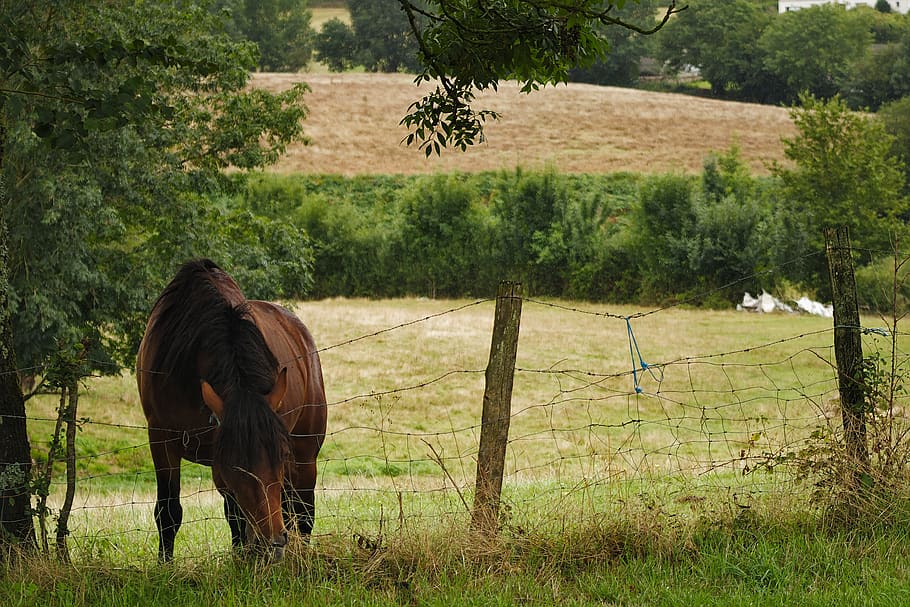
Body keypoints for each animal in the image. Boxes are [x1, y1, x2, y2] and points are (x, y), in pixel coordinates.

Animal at [137, 258, 330, 564]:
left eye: (281, 454)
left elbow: (239, 516)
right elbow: (169, 513)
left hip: (305, 456)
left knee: (302, 514)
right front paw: (165, 566)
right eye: (235, 462)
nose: (273, 542)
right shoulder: (163, 439)